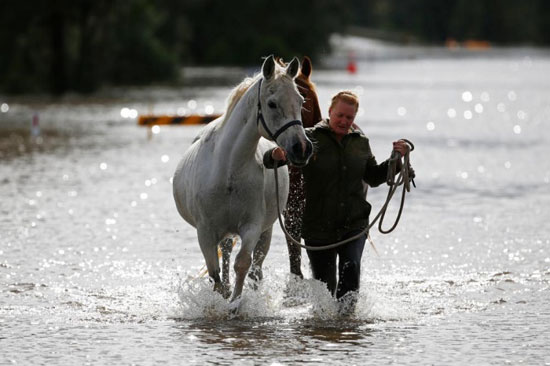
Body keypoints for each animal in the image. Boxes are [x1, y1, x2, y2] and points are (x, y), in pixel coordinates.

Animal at [175, 56, 312, 304]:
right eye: (272, 104)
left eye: (300, 100)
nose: (302, 148)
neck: (229, 169)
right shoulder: (205, 233)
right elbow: (215, 276)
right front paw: (223, 299)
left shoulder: (252, 226)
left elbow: (243, 264)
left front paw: (236, 304)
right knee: (226, 253)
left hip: (265, 231)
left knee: (255, 268)